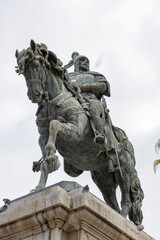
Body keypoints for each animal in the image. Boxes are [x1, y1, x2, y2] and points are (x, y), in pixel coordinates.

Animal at [15, 39, 144, 225]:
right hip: (102, 177)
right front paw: (39, 187)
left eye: (37, 65)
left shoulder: (75, 132)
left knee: (126, 196)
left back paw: (123, 217)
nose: (34, 95)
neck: (54, 101)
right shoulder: (42, 137)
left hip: (124, 170)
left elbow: (55, 124)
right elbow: (45, 158)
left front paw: (53, 159)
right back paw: (114, 213)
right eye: (23, 71)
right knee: (111, 201)